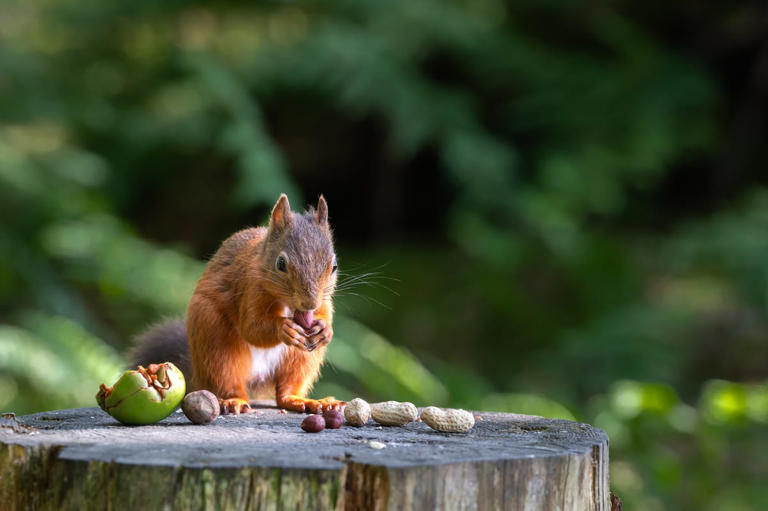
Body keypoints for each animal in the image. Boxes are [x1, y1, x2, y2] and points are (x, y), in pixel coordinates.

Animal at [130, 194, 343, 415]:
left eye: (334, 266)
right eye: (281, 264)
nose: (309, 303)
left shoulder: (324, 302)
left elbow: (324, 316)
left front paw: (325, 330)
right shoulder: (249, 288)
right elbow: (252, 328)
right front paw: (284, 327)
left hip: (301, 357)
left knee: (287, 390)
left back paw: (306, 401)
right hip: (215, 339)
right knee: (227, 378)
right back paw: (234, 400)